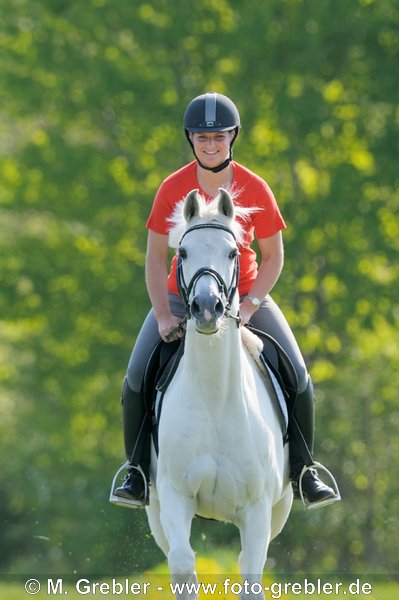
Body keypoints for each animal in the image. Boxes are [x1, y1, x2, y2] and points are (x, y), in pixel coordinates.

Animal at [147, 190, 294, 596]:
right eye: (182, 252)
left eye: (232, 253)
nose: (206, 308)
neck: (214, 399)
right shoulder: (174, 497)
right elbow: (183, 564)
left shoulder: (258, 511)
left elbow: (251, 574)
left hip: (280, 509)